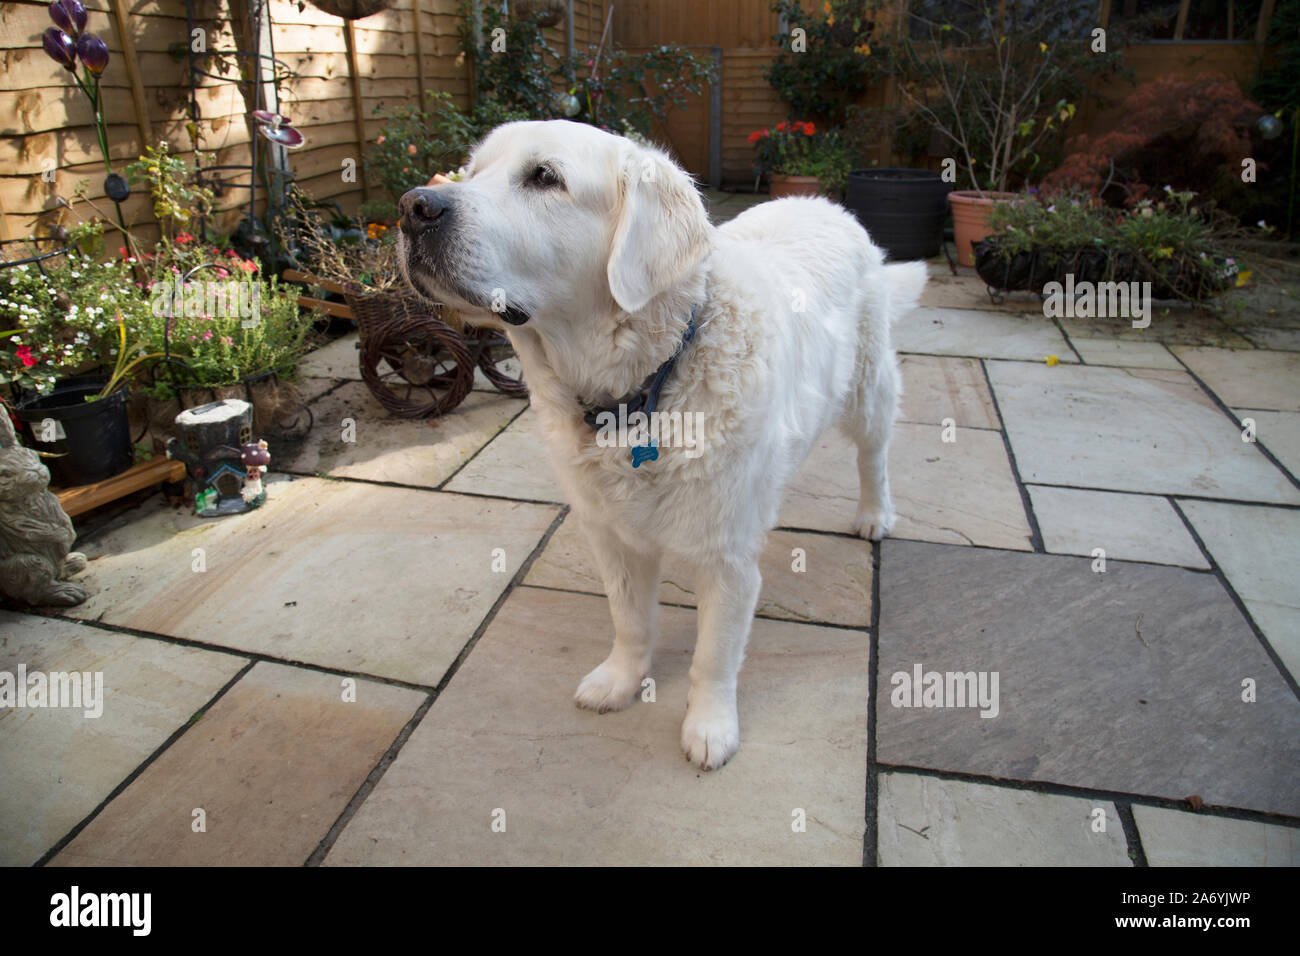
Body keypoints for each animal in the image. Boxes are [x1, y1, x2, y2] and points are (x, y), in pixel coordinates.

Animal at [397, 123, 925, 775]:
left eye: (545, 177)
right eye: (470, 172)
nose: (413, 207)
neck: (644, 387)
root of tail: (826, 203)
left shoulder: (727, 558)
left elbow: (713, 656)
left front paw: (710, 727)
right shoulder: (610, 534)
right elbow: (631, 622)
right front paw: (620, 682)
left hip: (869, 390)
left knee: (873, 455)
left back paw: (875, 514)